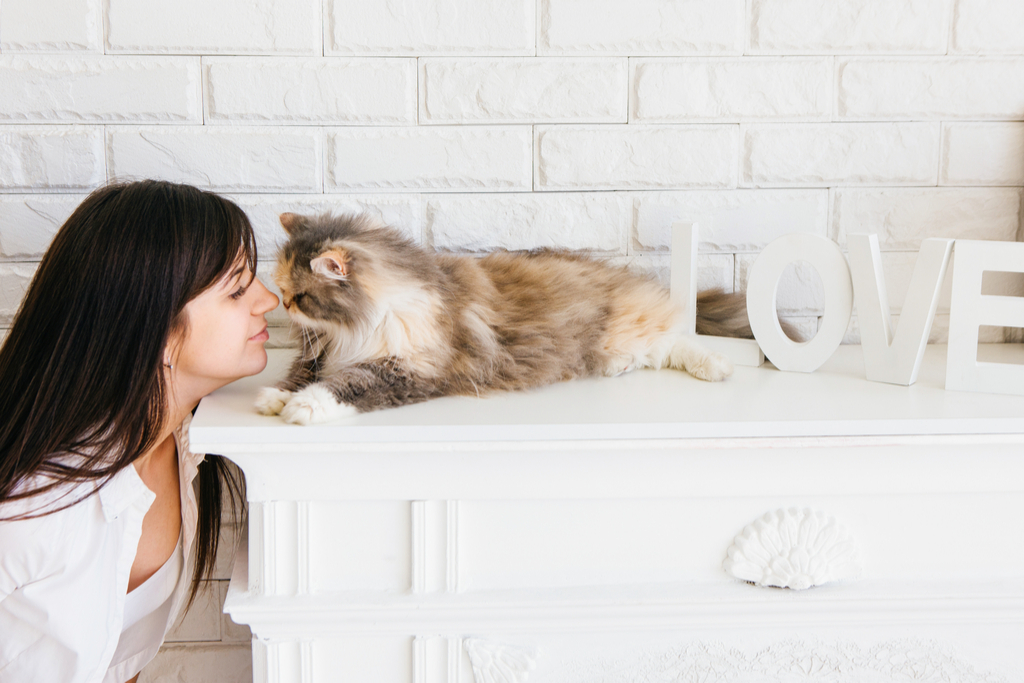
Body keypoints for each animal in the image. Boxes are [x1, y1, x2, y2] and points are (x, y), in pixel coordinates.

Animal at [256, 214, 753, 428]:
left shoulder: (410, 367)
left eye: (301, 295)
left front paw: (303, 406)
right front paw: (274, 398)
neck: (356, 326)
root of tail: (610, 271)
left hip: (628, 326)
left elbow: (348, 384)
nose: (284, 306)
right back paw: (618, 368)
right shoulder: (321, 350)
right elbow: (299, 374)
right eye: (283, 291)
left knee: (676, 340)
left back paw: (717, 368)